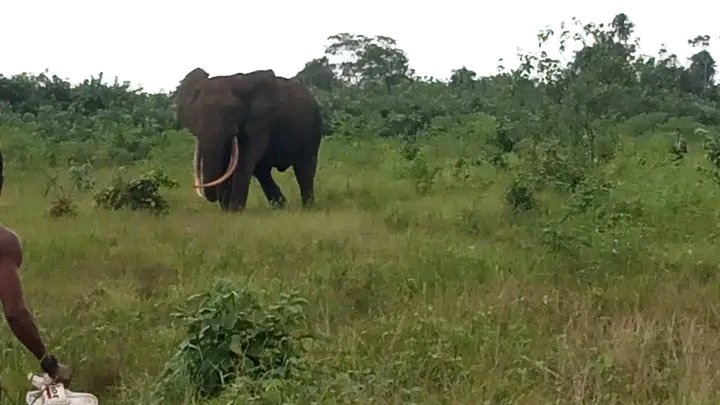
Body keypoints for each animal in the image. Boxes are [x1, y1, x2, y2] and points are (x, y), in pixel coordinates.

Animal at [174, 67, 323, 212]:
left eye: (232, 110)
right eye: (195, 112)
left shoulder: (260, 121)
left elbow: (243, 160)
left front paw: (234, 210)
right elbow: (226, 163)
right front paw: (226, 210)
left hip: (312, 128)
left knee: (304, 166)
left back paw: (307, 207)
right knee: (262, 171)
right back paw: (281, 206)